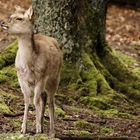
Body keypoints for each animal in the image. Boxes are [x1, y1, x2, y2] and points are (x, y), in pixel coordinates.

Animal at [3, 5, 63, 138]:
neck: (29, 64)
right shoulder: (21, 77)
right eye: (11, 16)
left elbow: (35, 101)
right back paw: (42, 125)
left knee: (51, 101)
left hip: (55, 77)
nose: (2, 23)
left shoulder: (41, 77)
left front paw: (38, 129)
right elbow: (27, 100)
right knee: (43, 97)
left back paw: (51, 131)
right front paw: (23, 129)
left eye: (19, 18)